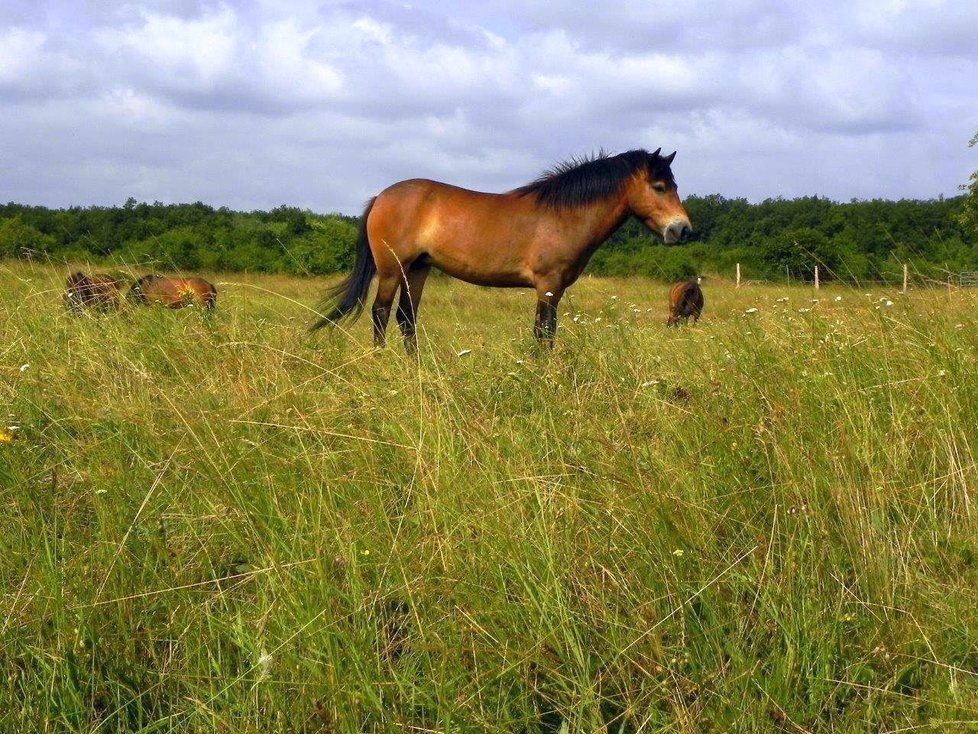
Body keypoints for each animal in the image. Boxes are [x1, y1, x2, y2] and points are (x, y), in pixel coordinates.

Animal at [308, 148, 692, 350]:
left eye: (674, 185)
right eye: (659, 186)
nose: (683, 229)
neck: (563, 213)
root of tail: (381, 197)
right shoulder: (548, 286)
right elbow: (544, 333)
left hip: (417, 269)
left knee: (406, 318)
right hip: (390, 271)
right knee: (381, 313)